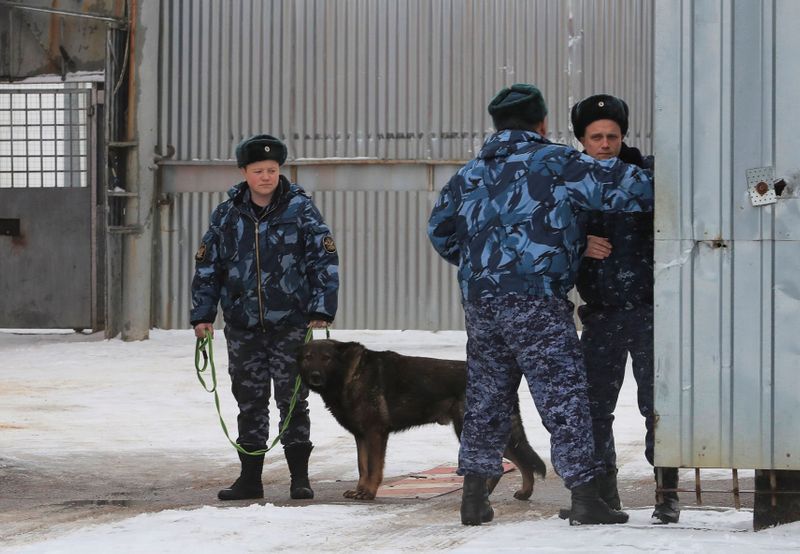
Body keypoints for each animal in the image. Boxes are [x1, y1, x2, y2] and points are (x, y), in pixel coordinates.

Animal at [296, 338, 548, 498]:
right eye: (308, 357)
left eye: (326, 358)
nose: (315, 376)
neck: (349, 374)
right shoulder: (361, 437)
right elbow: (362, 466)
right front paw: (360, 490)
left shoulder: (375, 434)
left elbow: (373, 468)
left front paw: (368, 492)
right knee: (518, 460)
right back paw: (522, 492)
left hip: (470, 431)